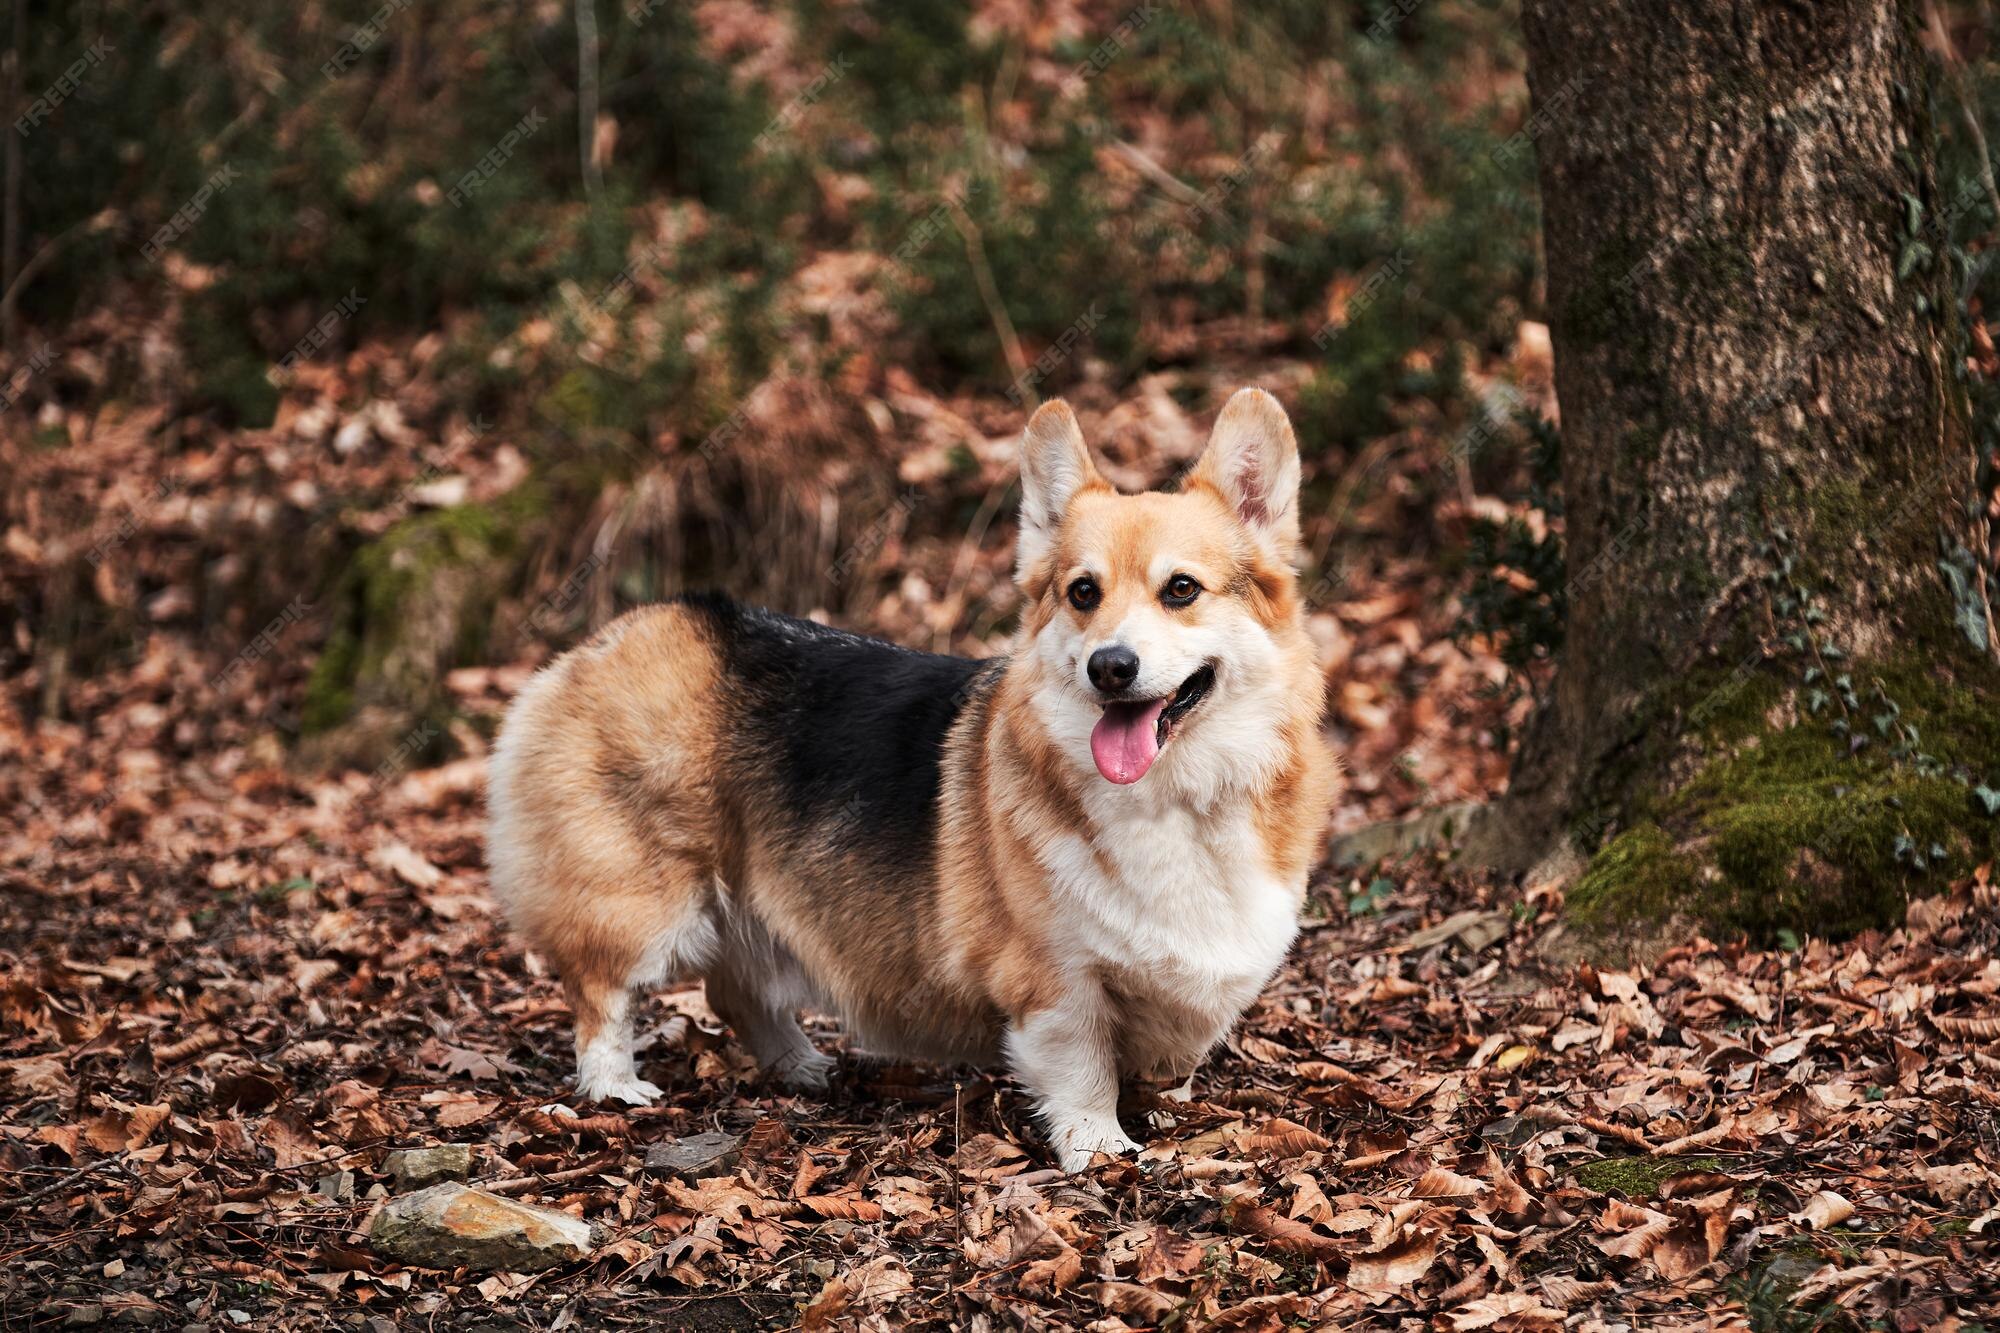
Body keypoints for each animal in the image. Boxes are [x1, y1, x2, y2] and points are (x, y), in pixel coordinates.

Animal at [482, 390, 1328, 1168]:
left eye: (1181, 588)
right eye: (1082, 592)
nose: (1109, 666)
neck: (1178, 798)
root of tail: (609, 638)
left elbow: (1174, 1049)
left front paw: (1166, 1105)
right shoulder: (1054, 979)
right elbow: (1082, 1066)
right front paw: (1100, 1146)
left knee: (736, 991)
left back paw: (803, 1067)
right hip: (639, 901)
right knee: (602, 992)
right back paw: (615, 1086)